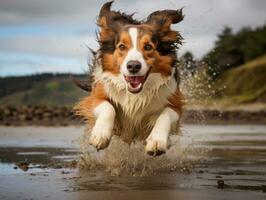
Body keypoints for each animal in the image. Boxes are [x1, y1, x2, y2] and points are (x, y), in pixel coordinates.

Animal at [74, 0, 184, 155]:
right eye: (121, 46)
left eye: (148, 46)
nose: (133, 66)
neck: (135, 95)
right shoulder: (95, 96)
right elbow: (108, 107)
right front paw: (100, 135)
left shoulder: (175, 102)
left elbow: (166, 114)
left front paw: (157, 141)